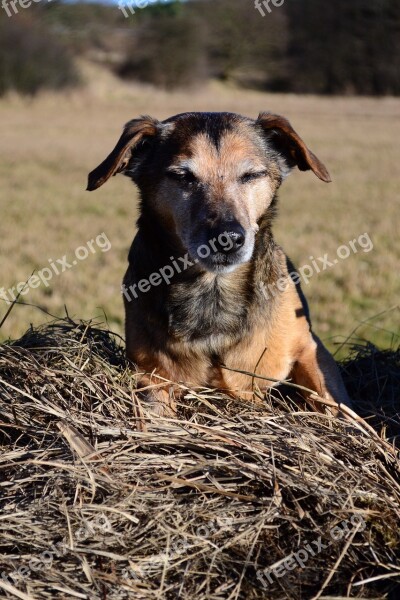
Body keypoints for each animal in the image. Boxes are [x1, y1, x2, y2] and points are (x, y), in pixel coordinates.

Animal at [88, 110, 354, 414]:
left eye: (251, 175)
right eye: (183, 176)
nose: (227, 238)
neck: (214, 291)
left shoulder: (310, 348)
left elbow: (330, 399)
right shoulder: (150, 374)